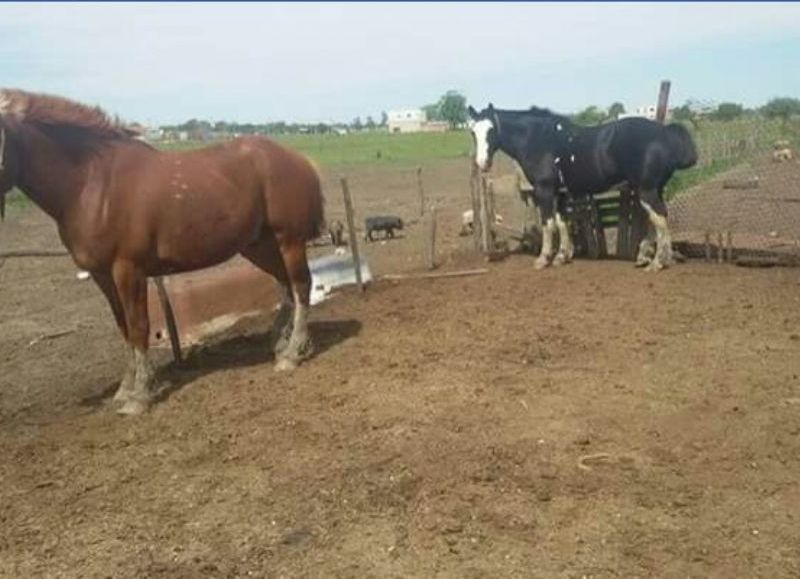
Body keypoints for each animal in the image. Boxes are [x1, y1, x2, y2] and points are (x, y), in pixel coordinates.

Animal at [0, 89, 324, 416]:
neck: (93, 184)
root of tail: (299, 159)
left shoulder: (128, 269)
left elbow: (138, 327)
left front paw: (141, 395)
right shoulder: (102, 275)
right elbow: (123, 328)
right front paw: (126, 388)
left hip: (289, 241)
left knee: (301, 285)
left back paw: (293, 353)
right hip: (258, 246)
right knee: (285, 285)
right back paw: (284, 344)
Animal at [466, 104, 696, 272]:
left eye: (491, 130)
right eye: (472, 132)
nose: (482, 163)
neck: (538, 138)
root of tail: (665, 132)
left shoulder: (544, 191)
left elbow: (548, 225)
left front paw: (543, 259)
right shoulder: (559, 194)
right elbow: (562, 223)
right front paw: (562, 256)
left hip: (646, 190)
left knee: (659, 218)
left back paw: (658, 262)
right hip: (653, 189)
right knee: (655, 219)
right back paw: (645, 257)